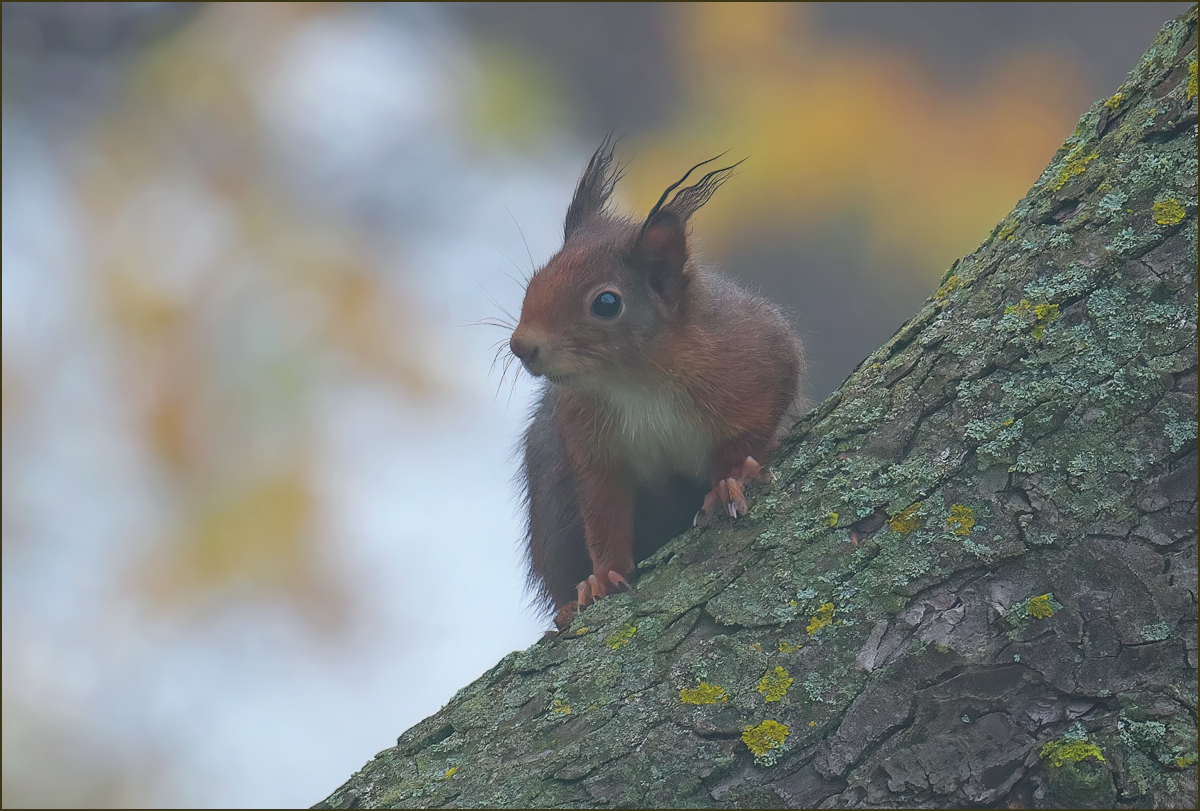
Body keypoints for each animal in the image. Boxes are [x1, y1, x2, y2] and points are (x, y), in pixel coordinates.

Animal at [511, 139, 801, 628]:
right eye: (535, 281)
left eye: (607, 303)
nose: (520, 346)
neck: (635, 380)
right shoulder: (589, 441)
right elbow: (603, 510)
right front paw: (602, 576)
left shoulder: (758, 358)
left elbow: (756, 424)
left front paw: (729, 478)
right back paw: (569, 603)